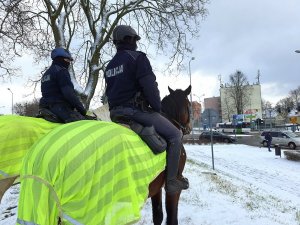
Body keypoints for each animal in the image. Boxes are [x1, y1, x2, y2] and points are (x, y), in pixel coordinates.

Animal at [148, 85, 192, 224]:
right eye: (189, 104)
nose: (190, 128)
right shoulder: (174, 189)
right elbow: (172, 218)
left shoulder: (156, 188)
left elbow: (158, 216)